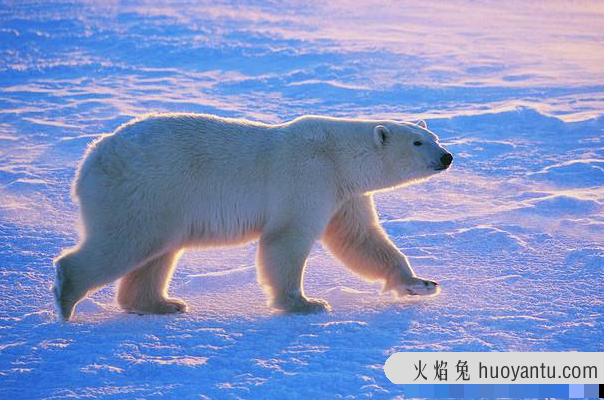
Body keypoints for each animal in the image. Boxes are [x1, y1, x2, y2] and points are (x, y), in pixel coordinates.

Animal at [54, 112, 452, 318]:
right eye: (418, 142)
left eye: (433, 136)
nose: (447, 156)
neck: (338, 156)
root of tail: (91, 159)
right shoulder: (308, 177)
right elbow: (286, 239)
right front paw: (305, 303)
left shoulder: (345, 194)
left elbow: (361, 238)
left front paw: (421, 283)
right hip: (144, 190)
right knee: (125, 242)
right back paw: (66, 297)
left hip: (163, 203)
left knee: (157, 251)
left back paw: (162, 304)